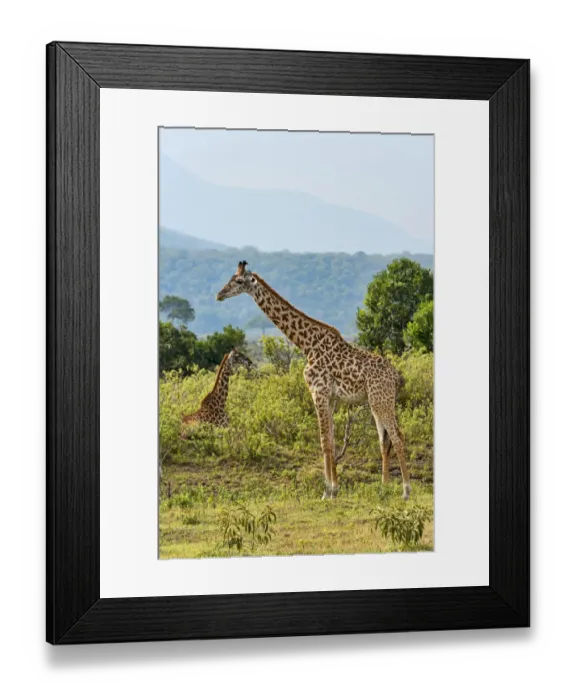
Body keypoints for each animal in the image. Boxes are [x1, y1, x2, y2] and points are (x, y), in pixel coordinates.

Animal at [216, 262, 411, 501]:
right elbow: (330, 440)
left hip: (381, 400)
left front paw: (328, 491)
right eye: (230, 278)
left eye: (239, 281)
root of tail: (397, 376)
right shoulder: (329, 396)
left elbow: (324, 440)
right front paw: (334, 488)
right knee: (385, 440)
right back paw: (384, 487)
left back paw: (406, 490)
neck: (306, 344)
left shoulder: (318, 391)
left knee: (398, 436)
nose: (219, 294)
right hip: (377, 402)